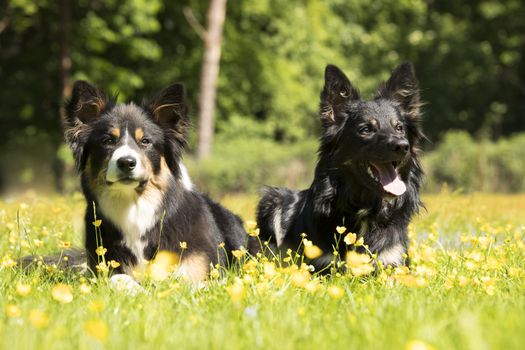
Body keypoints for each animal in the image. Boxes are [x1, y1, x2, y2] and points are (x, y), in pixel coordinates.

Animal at [58, 80, 247, 282]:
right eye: (108, 141)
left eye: (146, 141)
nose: (126, 162)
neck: (133, 206)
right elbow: (119, 278)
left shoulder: (200, 261)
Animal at [256, 62, 424, 270]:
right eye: (366, 129)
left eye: (399, 128)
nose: (402, 146)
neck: (364, 208)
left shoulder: (394, 262)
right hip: (272, 199)